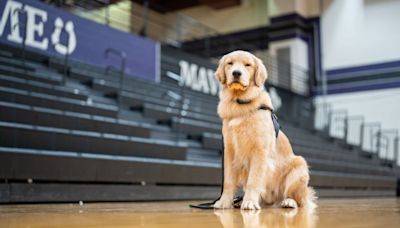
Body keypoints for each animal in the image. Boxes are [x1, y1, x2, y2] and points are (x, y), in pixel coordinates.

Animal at [212, 50, 316, 210]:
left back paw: (288, 202)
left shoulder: (259, 151)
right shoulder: (229, 151)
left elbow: (254, 180)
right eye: (230, 63)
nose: (236, 73)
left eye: (247, 65)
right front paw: (224, 201)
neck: (241, 103)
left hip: (299, 166)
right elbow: (228, 181)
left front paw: (249, 201)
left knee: (299, 199)